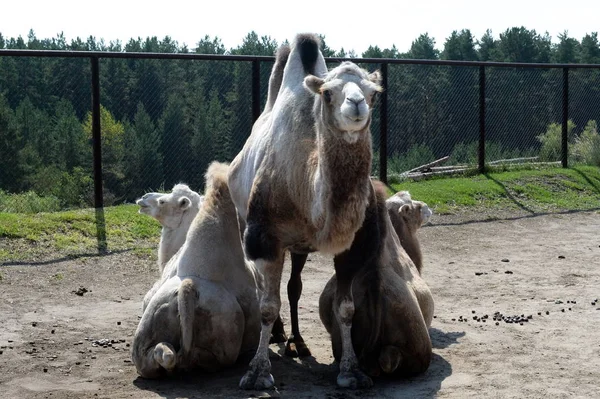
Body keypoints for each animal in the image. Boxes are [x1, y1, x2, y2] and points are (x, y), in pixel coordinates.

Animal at [227, 33, 382, 390]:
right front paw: (257, 373)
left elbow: (346, 309)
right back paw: (278, 335)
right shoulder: (264, 238)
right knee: (264, 288)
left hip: (298, 247)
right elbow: (267, 305)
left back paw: (297, 340)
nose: (356, 104)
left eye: (373, 93)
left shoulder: (353, 245)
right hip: (245, 220)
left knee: (294, 287)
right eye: (327, 93)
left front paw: (352, 371)